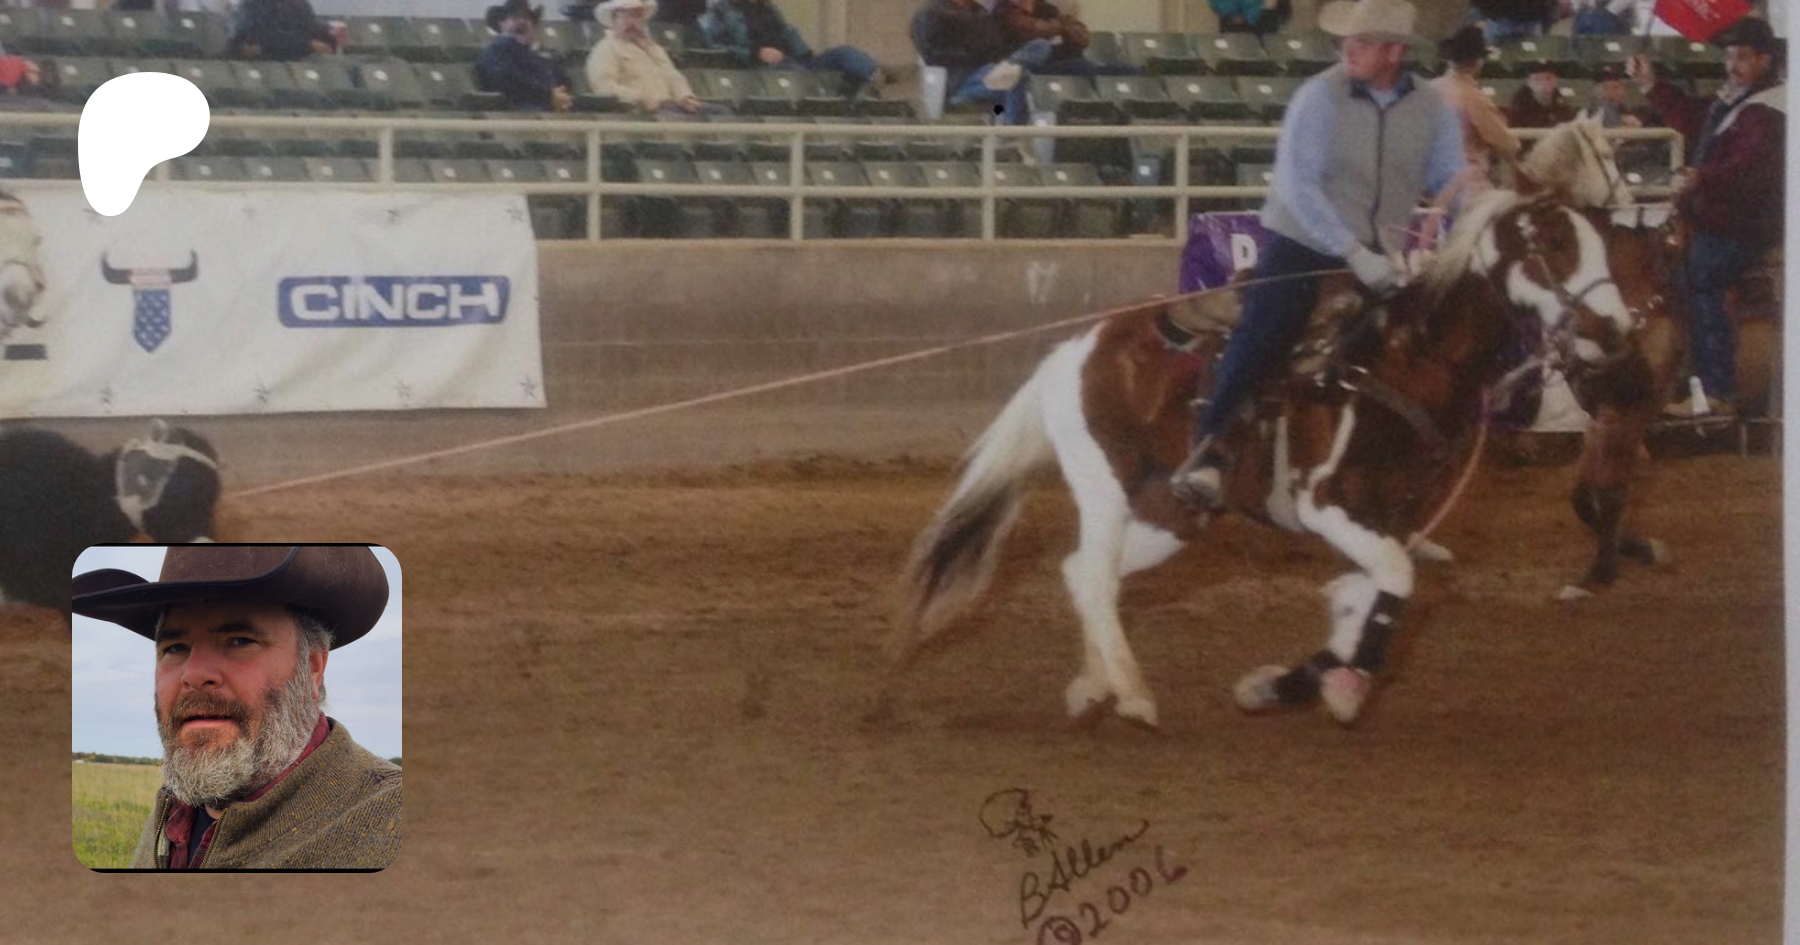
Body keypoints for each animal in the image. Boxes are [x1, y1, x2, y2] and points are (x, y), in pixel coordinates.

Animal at [889, 189, 1635, 729]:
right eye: (1557, 243)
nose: (1617, 329)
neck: (1404, 359)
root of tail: (1076, 349)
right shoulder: (1331, 506)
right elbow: (1392, 584)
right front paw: (1338, 688)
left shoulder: (1395, 519)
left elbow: (1369, 595)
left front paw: (1282, 684)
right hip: (1105, 487)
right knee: (1095, 577)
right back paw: (1132, 692)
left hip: (1173, 513)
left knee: (1083, 573)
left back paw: (1092, 685)